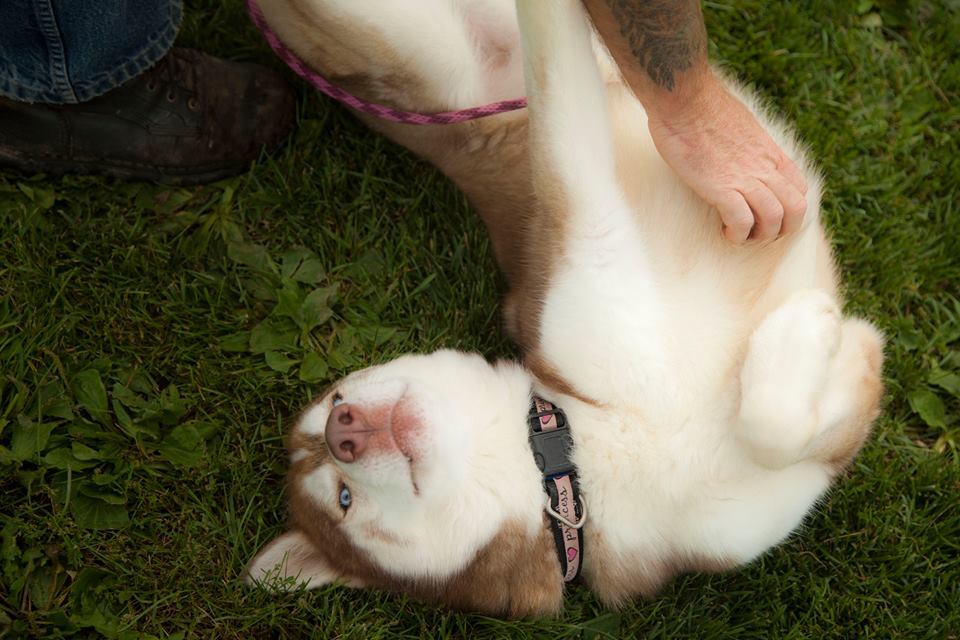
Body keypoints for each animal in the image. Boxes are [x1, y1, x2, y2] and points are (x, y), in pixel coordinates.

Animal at [246, 0, 884, 616]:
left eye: (335, 398)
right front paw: (806, 328)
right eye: (342, 498)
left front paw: (817, 345)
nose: (343, 430)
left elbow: (786, 422)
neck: (584, 463)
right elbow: (776, 421)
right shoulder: (591, 228)